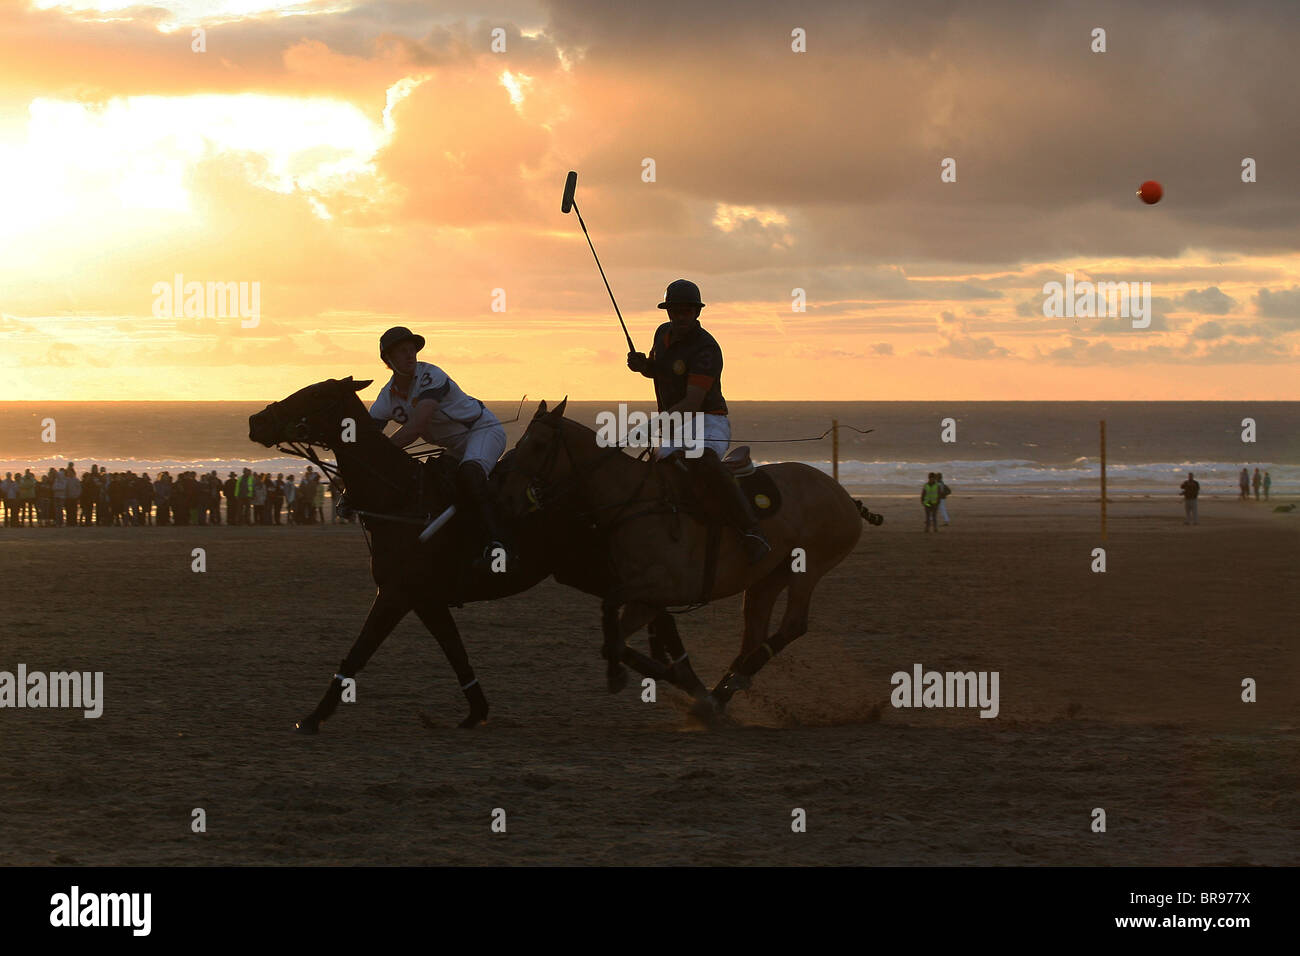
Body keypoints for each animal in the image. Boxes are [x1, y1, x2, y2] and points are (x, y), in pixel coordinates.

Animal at [246, 374, 707, 733]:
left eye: (312, 395)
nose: (256, 420)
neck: (399, 498)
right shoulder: (425, 599)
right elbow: (456, 653)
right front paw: (476, 712)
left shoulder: (396, 594)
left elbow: (358, 653)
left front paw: (312, 718)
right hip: (582, 570)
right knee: (656, 610)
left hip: (594, 567)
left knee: (660, 609)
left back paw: (694, 688)